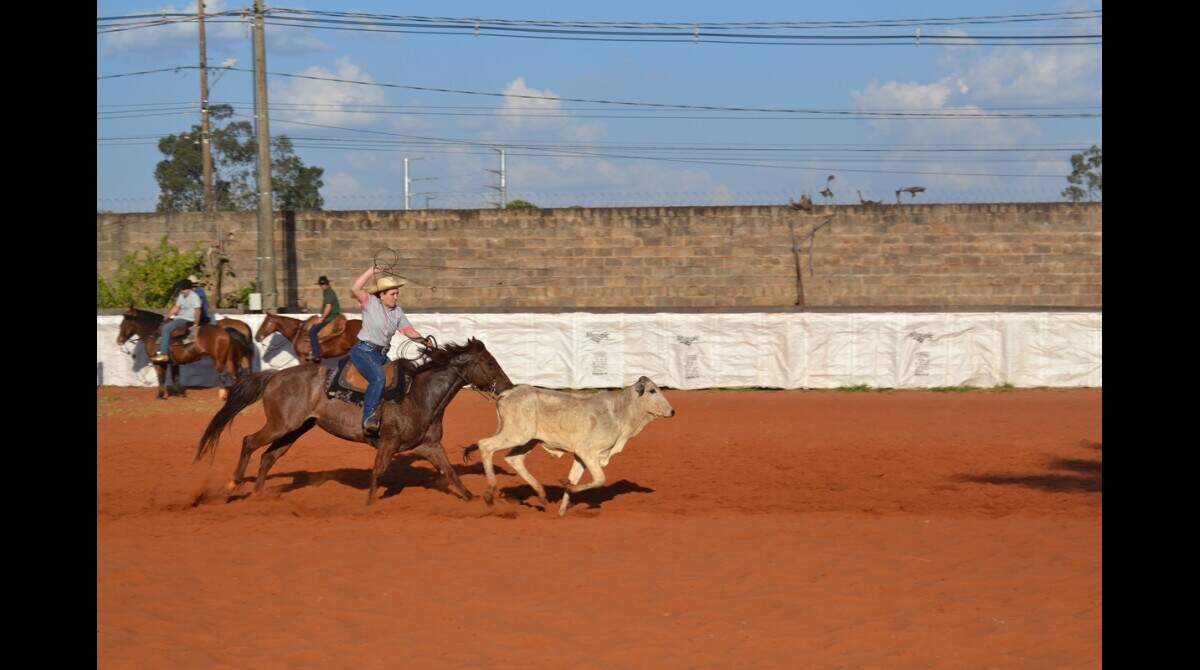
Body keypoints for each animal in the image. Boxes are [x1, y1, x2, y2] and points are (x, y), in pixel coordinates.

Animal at [115, 309, 254, 398]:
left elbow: (161, 377)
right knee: (237, 373)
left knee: (230, 374)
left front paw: (161, 395)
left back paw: (225, 394)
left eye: (123, 324)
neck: (154, 332)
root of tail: (225, 331)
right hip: (230, 358)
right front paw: (179, 393)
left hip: (221, 359)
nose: (119, 340)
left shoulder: (159, 362)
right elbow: (175, 377)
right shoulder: (174, 363)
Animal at [196, 341, 516, 504]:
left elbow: (451, 474)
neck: (420, 396)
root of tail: (275, 376)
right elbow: (378, 472)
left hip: (296, 428)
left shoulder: (429, 446)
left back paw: (260, 497)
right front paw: (369, 508)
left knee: (268, 456)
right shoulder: (388, 443)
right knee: (249, 442)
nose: (508, 386)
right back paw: (234, 485)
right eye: (489, 363)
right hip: (281, 425)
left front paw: (475, 502)